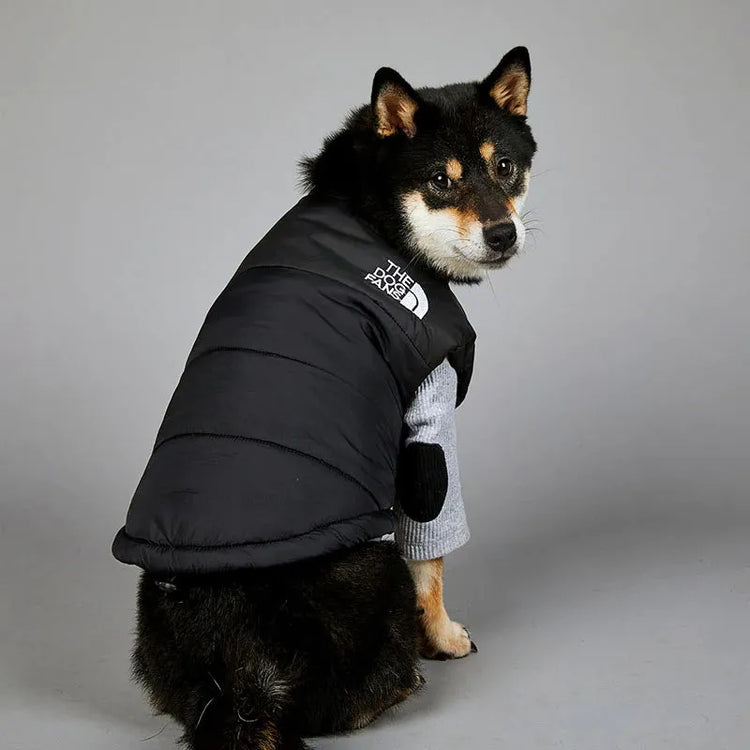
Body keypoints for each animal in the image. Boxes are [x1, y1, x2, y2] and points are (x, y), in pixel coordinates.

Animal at [131, 48, 540, 750]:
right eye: (441, 180)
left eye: (505, 167)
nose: (502, 233)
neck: (372, 214)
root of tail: (241, 670)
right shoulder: (427, 416)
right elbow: (432, 558)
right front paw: (443, 637)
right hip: (373, 571)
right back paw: (403, 680)